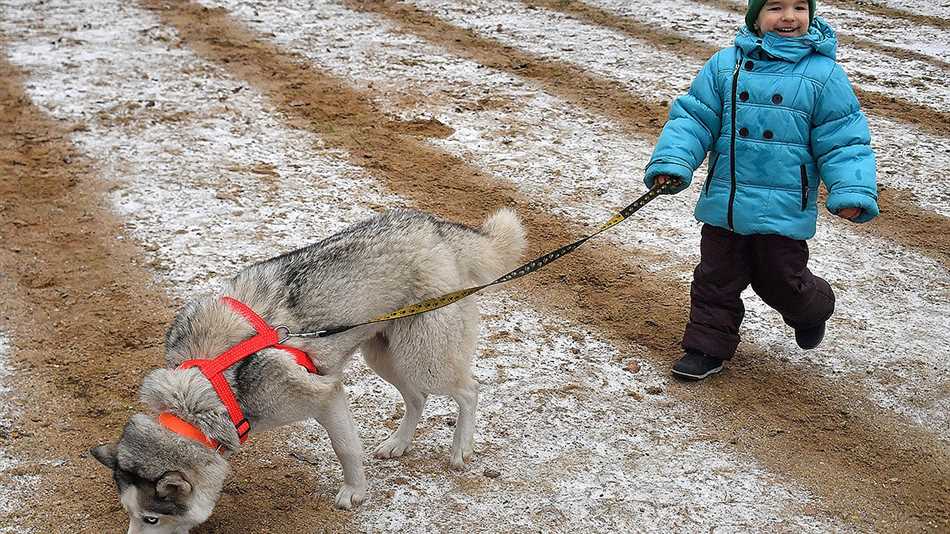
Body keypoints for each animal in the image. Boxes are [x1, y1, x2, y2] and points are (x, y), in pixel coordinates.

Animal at [89, 208, 528, 532]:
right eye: (130, 514)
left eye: (152, 518)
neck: (207, 385)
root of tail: (436, 227)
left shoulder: (325, 395)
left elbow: (345, 448)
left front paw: (355, 491)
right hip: (385, 357)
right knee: (417, 398)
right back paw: (397, 444)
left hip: (423, 358)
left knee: (469, 390)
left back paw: (460, 449)